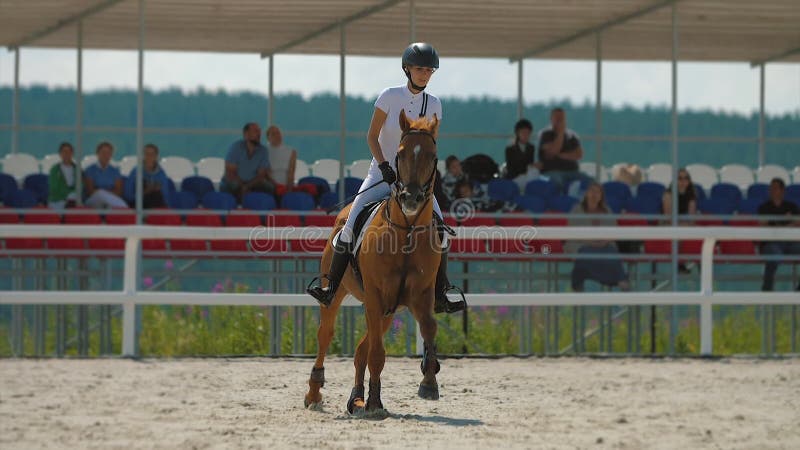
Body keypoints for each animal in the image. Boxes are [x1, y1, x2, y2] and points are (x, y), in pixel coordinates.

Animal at [304, 110, 444, 414]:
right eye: (400, 154)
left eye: (432, 156)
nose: (411, 198)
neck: (405, 233)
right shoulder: (376, 295)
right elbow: (377, 354)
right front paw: (376, 403)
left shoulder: (419, 294)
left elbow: (429, 327)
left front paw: (429, 381)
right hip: (342, 295)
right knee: (325, 335)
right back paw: (314, 393)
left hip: (387, 309)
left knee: (361, 350)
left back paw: (356, 398)